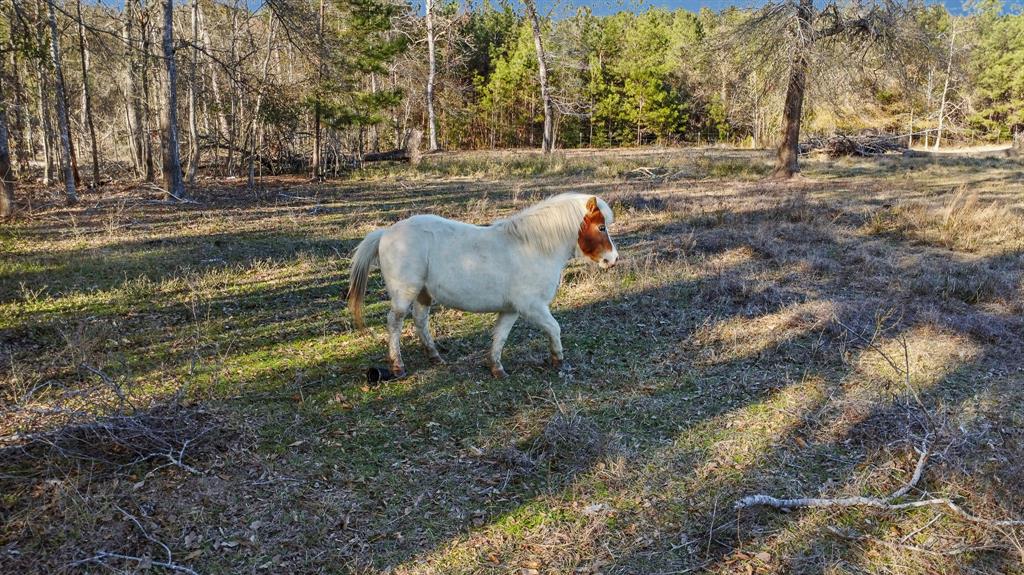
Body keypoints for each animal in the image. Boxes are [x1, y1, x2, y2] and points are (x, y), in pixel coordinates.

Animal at [346, 192, 614, 378]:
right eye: (601, 227)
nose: (612, 259)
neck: (533, 246)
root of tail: (385, 233)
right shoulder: (533, 308)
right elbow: (554, 328)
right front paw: (558, 360)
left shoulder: (511, 310)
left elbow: (500, 337)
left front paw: (497, 368)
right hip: (404, 295)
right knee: (395, 322)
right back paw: (397, 366)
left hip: (423, 294)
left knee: (420, 321)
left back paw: (435, 357)